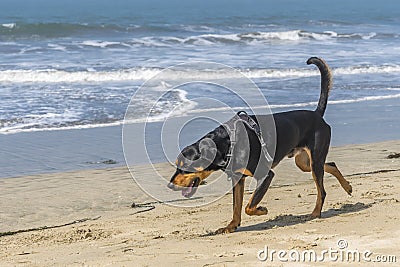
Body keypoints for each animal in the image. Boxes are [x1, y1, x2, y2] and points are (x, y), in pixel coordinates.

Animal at [167, 57, 352, 234]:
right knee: (331, 164)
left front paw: (261, 210)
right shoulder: (237, 178)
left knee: (322, 190)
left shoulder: (265, 175)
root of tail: (317, 115)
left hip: (314, 161)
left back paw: (315, 213)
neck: (228, 143)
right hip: (304, 163)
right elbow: (236, 206)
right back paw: (347, 186)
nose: (169, 185)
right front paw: (231, 226)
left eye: (185, 167)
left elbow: (249, 206)